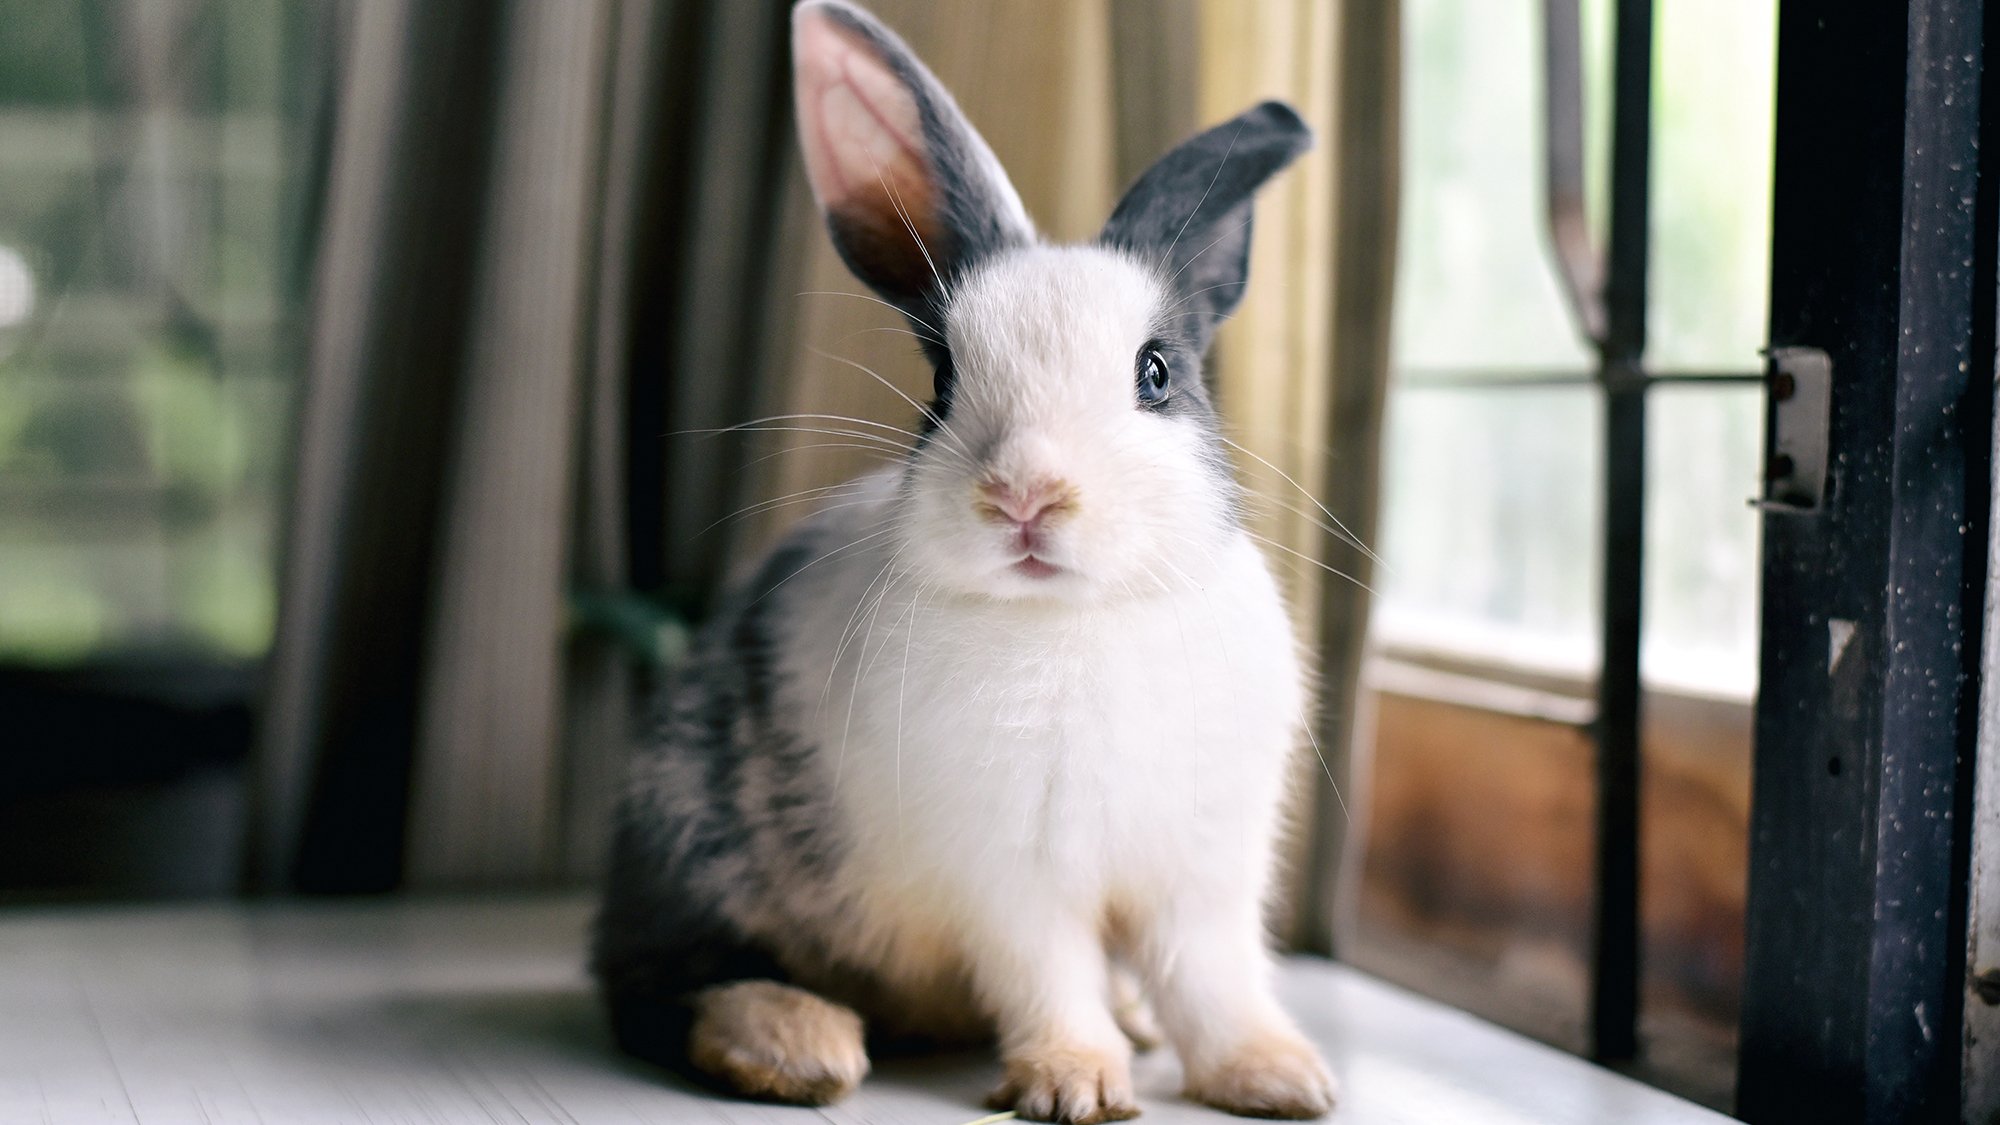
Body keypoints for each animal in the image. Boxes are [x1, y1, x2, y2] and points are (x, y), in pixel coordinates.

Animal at [592, 1, 1334, 1120]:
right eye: (941, 381)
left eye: (1156, 372)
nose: (1025, 494)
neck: (1077, 619)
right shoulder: (1010, 877)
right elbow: (1049, 977)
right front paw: (1075, 1084)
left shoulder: (1202, 873)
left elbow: (1213, 980)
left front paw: (1281, 1078)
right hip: (691, 841)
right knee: (659, 983)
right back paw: (797, 1042)